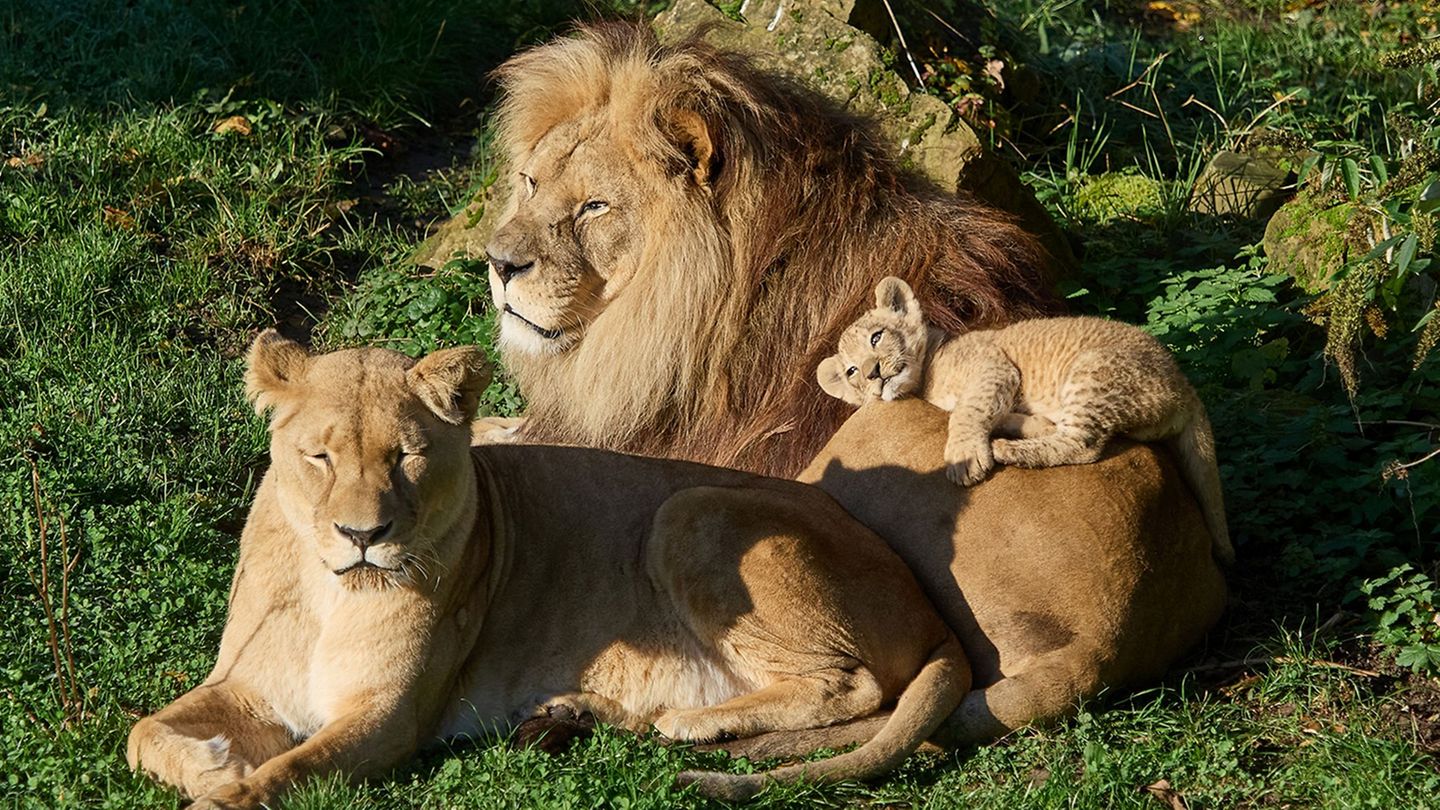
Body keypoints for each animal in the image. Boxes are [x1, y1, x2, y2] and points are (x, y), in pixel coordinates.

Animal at [125, 331, 972, 807]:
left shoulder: (389, 715)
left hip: (690, 508)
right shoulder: (249, 687)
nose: (363, 535)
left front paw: (225, 791)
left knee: (853, 687)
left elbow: (290, 772)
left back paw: (692, 722)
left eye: (406, 457)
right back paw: (576, 713)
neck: (329, 590)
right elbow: (143, 732)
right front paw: (210, 765)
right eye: (320, 456)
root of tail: (929, 606)